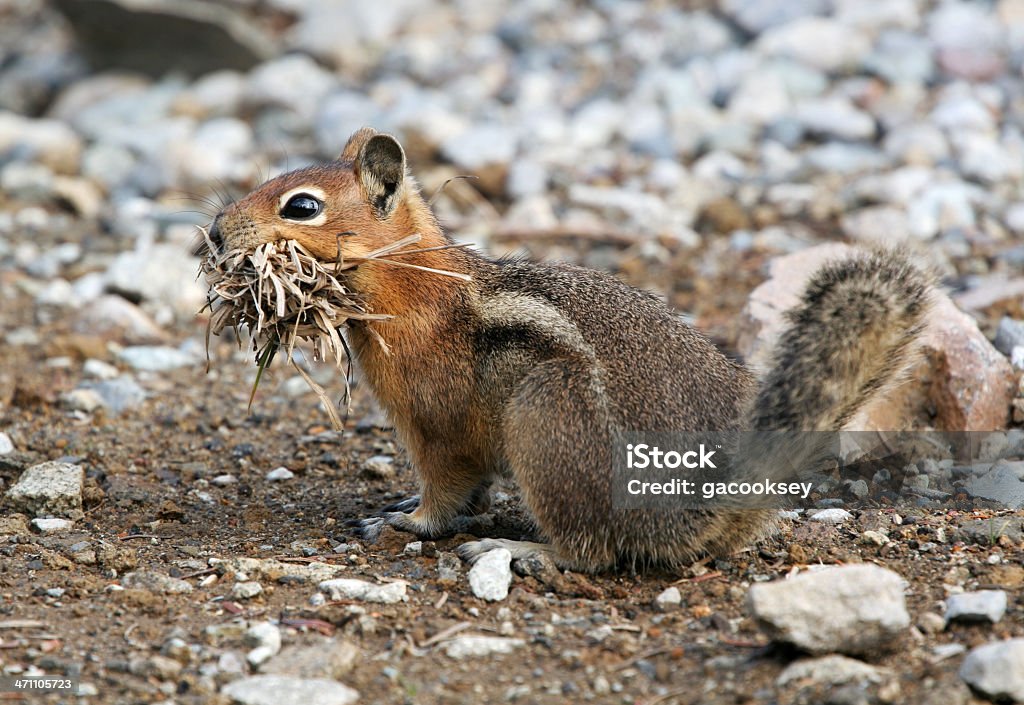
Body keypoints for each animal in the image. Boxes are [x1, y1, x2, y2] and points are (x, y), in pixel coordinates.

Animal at [203, 126, 933, 573]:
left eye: (301, 206)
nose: (215, 231)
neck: (413, 282)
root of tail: (708, 500)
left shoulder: (434, 425)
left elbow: (445, 488)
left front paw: (409, 522)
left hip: (547, 417)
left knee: (593, 550)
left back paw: (520, 549)